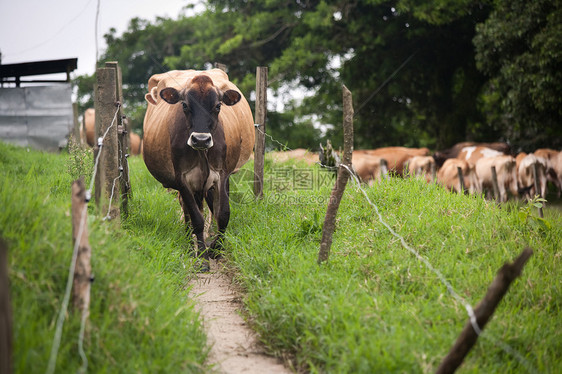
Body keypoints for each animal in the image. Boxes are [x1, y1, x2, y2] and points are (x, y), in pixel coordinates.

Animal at [141, 68, 255, 270]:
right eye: (185, 105)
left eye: (217, 106)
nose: (201, 139)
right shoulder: (182, 179)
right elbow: (196, 218)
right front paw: (202, 257)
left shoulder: (222, 176)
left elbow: (223, 214)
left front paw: (215, 249)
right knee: (188, 212)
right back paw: (189, 245)